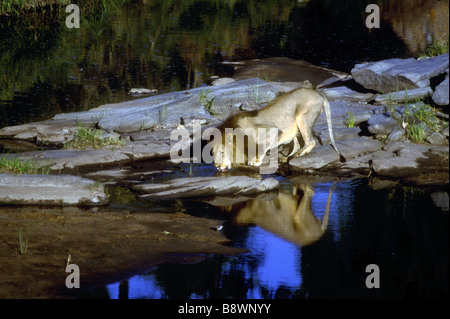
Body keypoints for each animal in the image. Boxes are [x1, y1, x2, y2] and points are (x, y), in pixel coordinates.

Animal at [211, 87, 344, 172]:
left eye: (222, 153)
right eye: (212, 153)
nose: (217, 166)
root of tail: (319, 93)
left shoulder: (270, 131)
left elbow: (261, 149)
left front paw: (255, 161)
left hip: (302, 116)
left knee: (311, 142)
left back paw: (298, 155)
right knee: (296, 144)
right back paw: (287, 157)